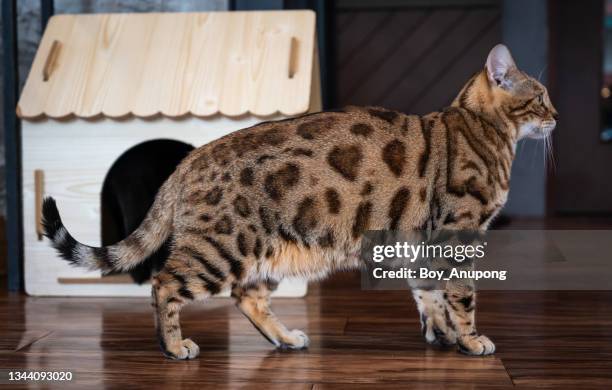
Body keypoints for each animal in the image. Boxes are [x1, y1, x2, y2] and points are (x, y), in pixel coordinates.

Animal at [43, 45, 556, 360]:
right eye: (541, 97)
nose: (556, 115)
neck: (484, 131)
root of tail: (188, 159)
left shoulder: (423, 246)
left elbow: (430, 296)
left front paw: (444, 337)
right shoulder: (459, 235)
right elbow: (461, 297)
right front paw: (471, 340)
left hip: (270, 253)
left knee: (245, 297)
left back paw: (286, 338)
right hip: (221, 249)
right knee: (164, 284)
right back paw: (174, 348)